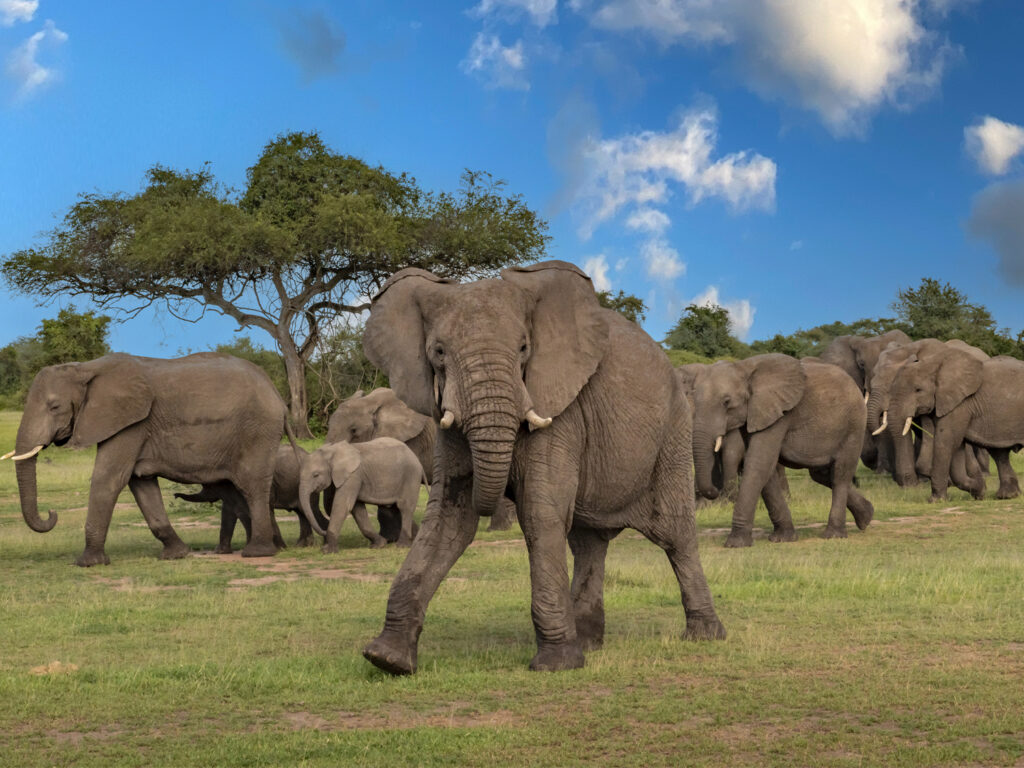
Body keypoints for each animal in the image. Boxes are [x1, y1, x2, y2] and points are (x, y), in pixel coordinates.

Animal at [4, 353, 288, 566]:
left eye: (54, 407)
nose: (51, 513)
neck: (85, 368)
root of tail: (275, 392)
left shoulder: (132, 424)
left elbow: (108, 479)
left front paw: (88, 563)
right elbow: (141, 483)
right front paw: (176, 555)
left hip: (257, 432)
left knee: (252, 486)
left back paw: (257, 553)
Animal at [173, 445, 330, 552]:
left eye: (207, 485)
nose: (175, 495)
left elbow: (247, 512)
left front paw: (274, 549)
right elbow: (229, 512)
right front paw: (221, 552)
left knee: (310, 511)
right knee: (302, 512)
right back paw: (302, 546)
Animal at [359, 260, 725, 676]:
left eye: (523, 349)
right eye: (438, 352)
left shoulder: (560, 410)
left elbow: (539, 514)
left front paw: (556, 665)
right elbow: (447, 519)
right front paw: (387, 659)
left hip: (674, 431)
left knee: (674, 534)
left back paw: (704, 635)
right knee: (588, 543)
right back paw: (588, 642)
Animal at [691, 354, 874, 547]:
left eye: (726, 402)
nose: (713, 492)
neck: (744, 368)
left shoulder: (779, 415)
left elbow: (758, 464)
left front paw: (736, 543)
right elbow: (765, 470)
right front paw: (783, 538)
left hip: (854, 426)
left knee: (840, 475)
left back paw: (834, 534)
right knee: (822, 474)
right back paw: (866, 517)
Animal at [867, 342, 1024, 501]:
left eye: (918, 390)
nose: (908, 486)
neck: (930, 364)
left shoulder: (961, 404)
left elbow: (945, 441)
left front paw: (936, 500)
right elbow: (956, 445)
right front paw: (979, 490)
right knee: (999, 452)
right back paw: (1008, 495)